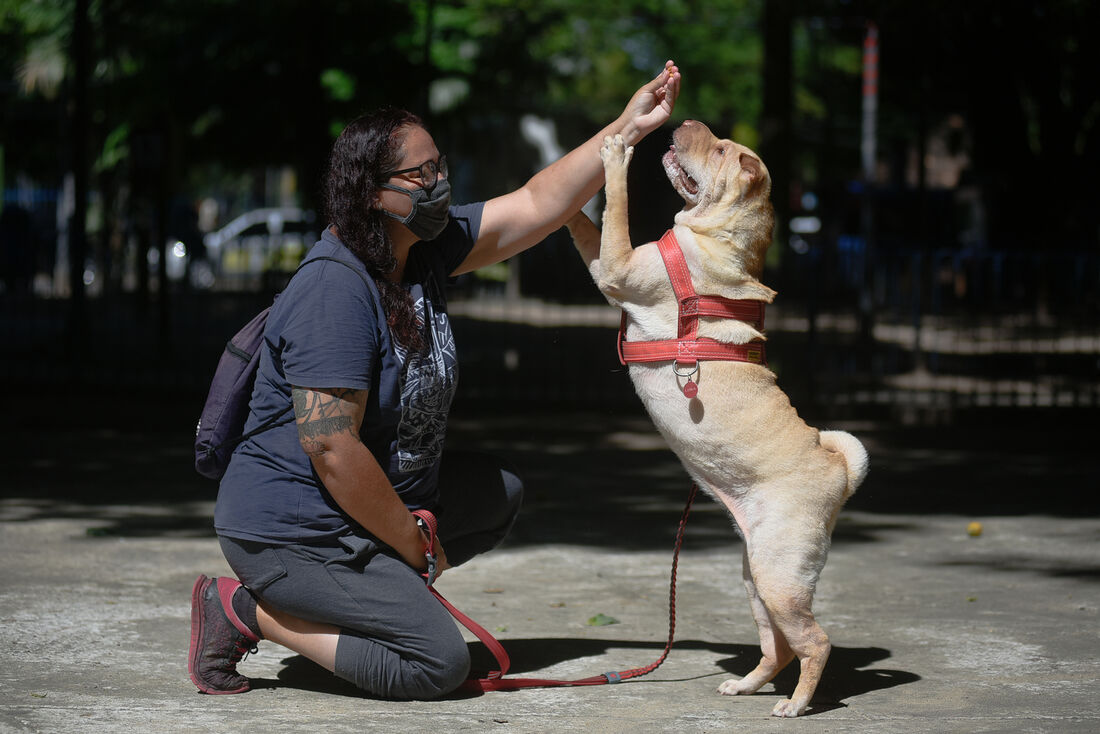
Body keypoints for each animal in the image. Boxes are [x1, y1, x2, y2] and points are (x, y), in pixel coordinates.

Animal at [567, 122, 866, 717]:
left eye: (721, 149)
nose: (687, 124)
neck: (719, 238)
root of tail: (840, 470)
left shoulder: (617, 267)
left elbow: (615, 209)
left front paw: (614, 157)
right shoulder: (608, 264)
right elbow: (587, 225)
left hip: (779, 576)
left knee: (815, 642)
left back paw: (796, 704)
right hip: (758, 577)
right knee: (778, 646)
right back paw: (748, 685)